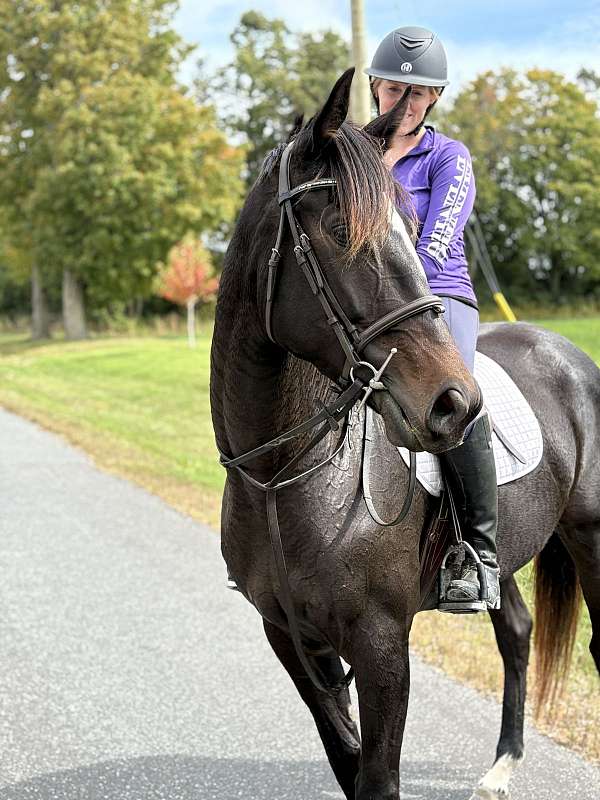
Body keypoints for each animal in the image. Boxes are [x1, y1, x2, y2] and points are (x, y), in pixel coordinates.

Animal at [210, 69, 600, 800]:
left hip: (592, 536)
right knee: (517, 632)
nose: (456, 405)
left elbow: (379, 777)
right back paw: (501, 767)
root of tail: (568, 354)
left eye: (414, 227)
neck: (281, 476)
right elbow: (348, 762)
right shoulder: (292, 640)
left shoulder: (382, 644)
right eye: (340, 229)